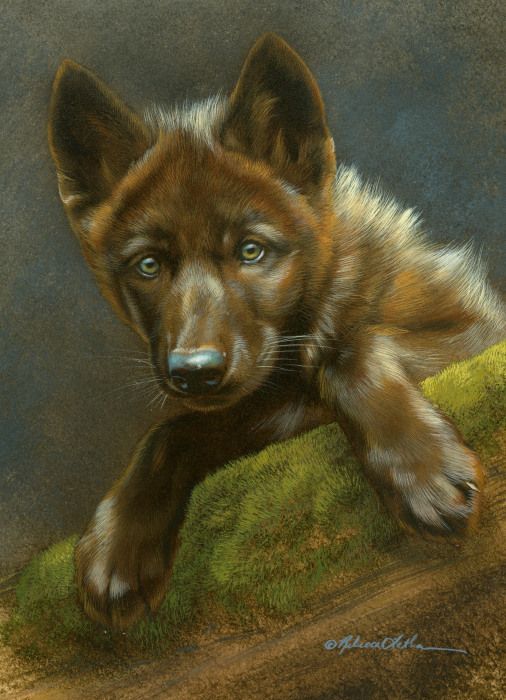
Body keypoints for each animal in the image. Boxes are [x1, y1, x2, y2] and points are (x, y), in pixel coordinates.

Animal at [48, 33, 505, 628]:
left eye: (251, 251)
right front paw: (119, 539)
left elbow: (349, 354)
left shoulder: (473, 334)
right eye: (148, 265)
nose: (195, 373)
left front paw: (420, 470)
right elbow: (170, 431)